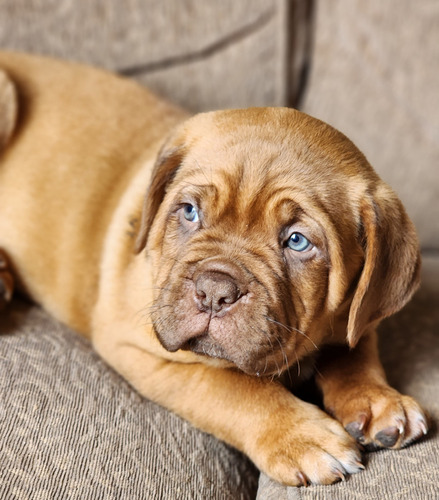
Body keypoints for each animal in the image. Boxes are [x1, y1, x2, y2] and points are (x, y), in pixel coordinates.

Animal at [0, 52, 428, 486]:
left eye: (297, 241)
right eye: (189, 212)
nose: (214, 291)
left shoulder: (355, 315)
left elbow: (356, 351)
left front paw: (378, 399)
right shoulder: (138, 347)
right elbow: (229, 385)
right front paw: (301, 435)